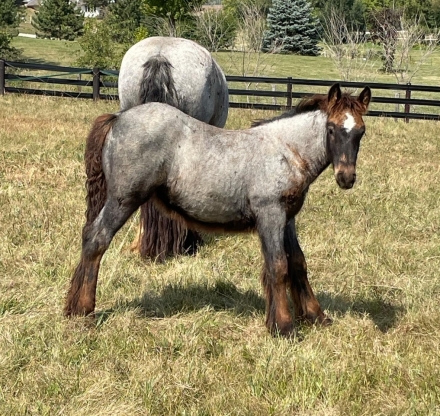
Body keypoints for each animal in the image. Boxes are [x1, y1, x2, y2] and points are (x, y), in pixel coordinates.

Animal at [62, 83, 372, 336]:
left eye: (361, 132)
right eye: (331, 129)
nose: (346, 178)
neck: (285, 150)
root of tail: (117, 118)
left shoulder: (287, 218)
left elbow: (298, 263)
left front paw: (316, 316)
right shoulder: (270, 214)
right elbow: (278, 266)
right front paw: (283, 327)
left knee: (89, 236)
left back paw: (73, 307)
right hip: (123, 199)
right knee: (97, 239)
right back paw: (84, 312)